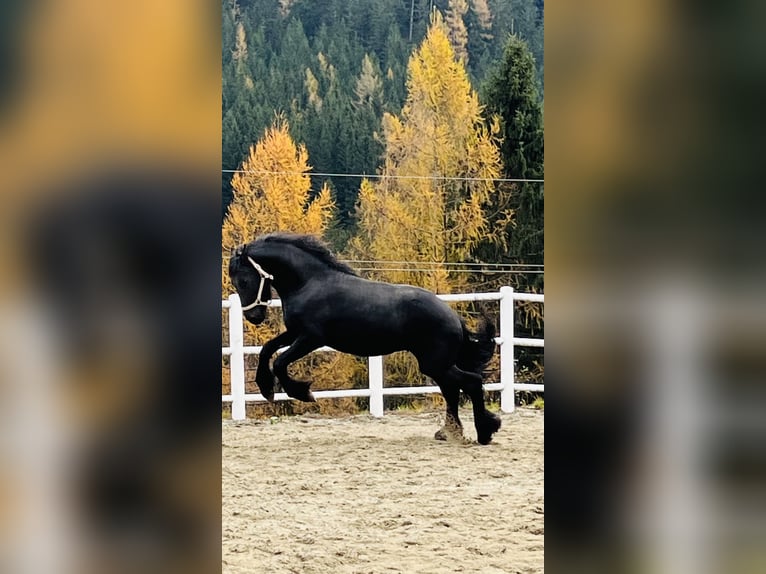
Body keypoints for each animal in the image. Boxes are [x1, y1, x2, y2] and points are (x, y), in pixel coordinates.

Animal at [228, 234, 504, 446]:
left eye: (243, 280)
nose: (253, 316)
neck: (309, 283)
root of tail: (453, 317)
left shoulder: (310, 338)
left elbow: (280, 362)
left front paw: (303, 392)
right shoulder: (295, 333)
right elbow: (267, 349)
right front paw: (265, 387)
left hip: (435, 364)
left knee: (471, 383)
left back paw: (483, 432)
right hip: (436, 365)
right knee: (452, 390)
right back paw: (450, 432)